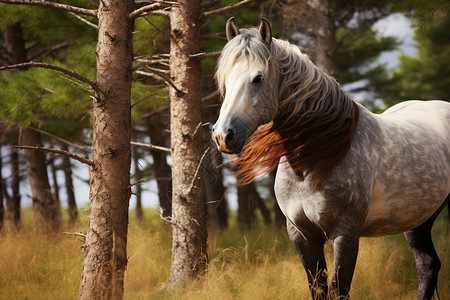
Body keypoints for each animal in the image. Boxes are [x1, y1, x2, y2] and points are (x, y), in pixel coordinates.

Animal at [212, 17, 450, 300]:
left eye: (258, 78)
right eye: (224, 79)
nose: (223, 136)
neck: (319, 157)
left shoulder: (345, 236)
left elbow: (339, 290)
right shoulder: (302, 236)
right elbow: (318, 288)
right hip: (418, 219)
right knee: (427, 265)